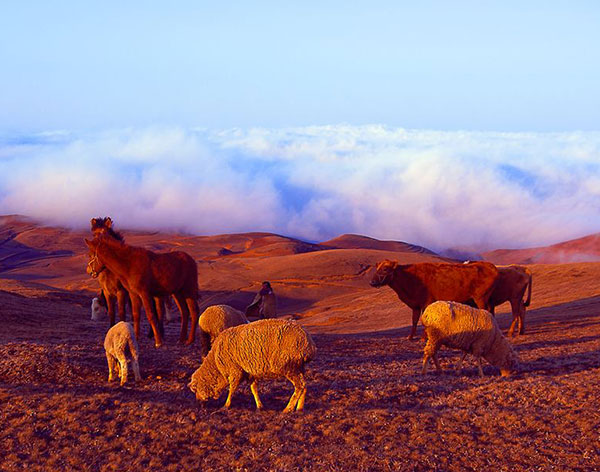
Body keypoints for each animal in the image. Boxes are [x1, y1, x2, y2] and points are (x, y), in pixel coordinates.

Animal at [368, 260, 500, 342]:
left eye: (385, 269)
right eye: (377, 268)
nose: (372, 282)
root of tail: (490, 266)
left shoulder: (426, 302)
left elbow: (424, 320)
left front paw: (423, 337)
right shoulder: (416, 305)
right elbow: (414, 321)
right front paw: (410, 337)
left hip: (481, 298)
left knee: (486, 311)